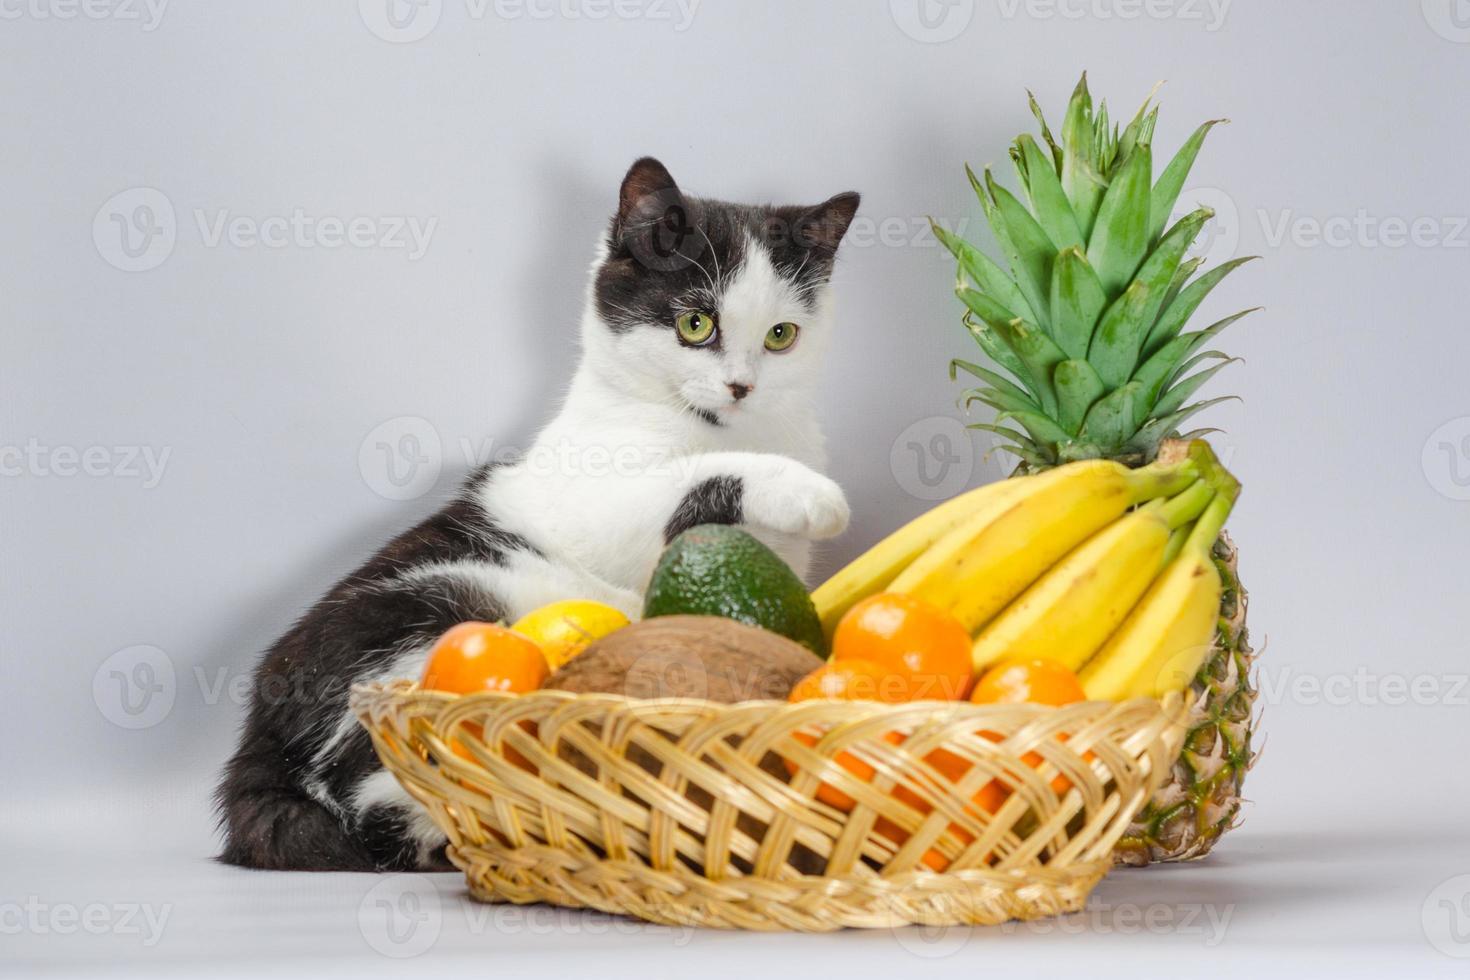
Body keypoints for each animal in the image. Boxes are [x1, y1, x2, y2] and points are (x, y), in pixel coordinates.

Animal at [217, 160, 858, 875]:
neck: (723, 430)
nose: (741, 387)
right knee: (369, 782)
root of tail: (257, 736)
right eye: (696, 324)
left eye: (781, 336)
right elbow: (681, 486)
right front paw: (805, 491)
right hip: (444, 602)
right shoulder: (588, 502)